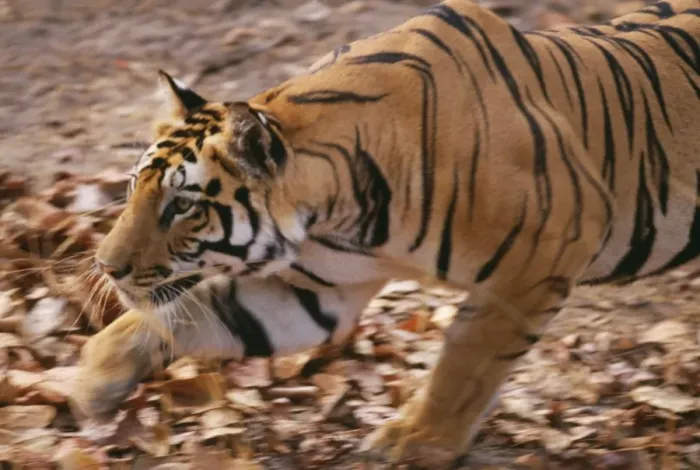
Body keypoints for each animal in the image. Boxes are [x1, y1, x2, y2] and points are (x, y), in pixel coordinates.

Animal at [71, 0, 700, 465]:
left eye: (182, 205)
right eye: (135, 187)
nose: (106, 266)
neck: (335, 215)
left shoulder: (545, 246)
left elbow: (466, 360)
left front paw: (415, 443)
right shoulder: (316, 290)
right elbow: (193, 316)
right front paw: (91, 381)